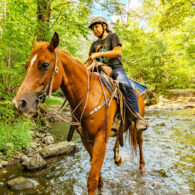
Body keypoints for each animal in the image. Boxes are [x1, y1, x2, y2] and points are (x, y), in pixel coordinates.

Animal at [12, 32, 145, 195]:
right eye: (26, 65)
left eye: (44, 65)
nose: (19, 103)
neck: (89, 95)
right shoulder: (85, 138)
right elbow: (97, 176)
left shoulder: (101, 139)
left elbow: (92, 180)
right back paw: (117, 157)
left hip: (138, 125)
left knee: (140, 142)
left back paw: (142, 166)